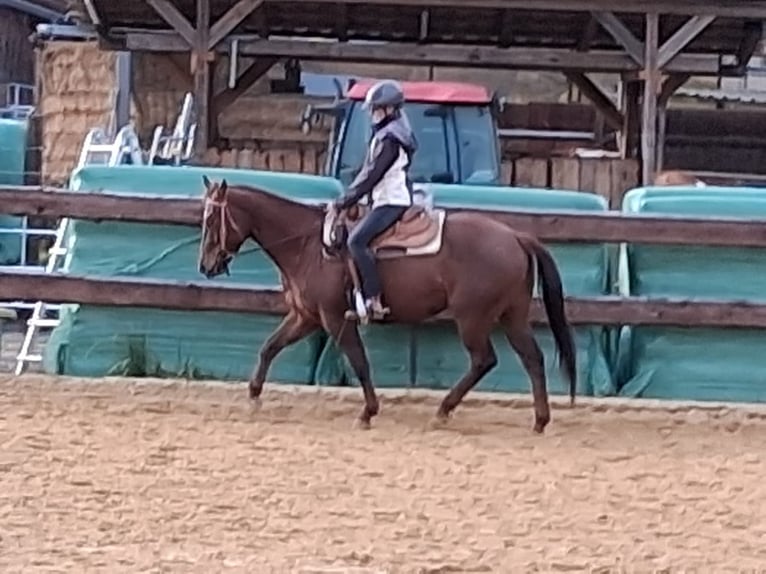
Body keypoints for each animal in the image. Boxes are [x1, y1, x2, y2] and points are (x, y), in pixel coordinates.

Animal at [197, 176, 577, 433]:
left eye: (212, 220)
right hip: (512, 315)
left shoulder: (335, 318)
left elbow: (359, 362)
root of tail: (515, 236)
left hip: (474, 318)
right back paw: (539, 420)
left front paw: (368, 412)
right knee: (531, 358)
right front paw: (253, 398)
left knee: (485, 360)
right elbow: (269, 348)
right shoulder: (306, 317)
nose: (206, 265)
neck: (309, 246)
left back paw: (444, 410)